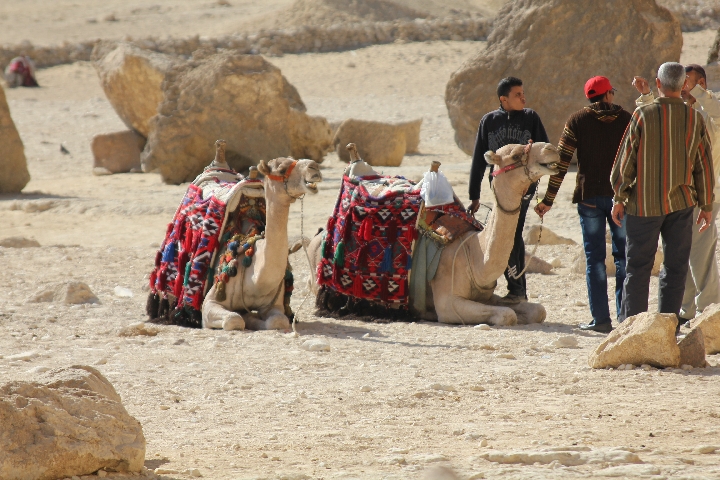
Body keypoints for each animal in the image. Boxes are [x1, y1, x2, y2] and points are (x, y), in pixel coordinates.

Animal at [201, 158, 322, 330]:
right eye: (281, 169)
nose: (314, 167)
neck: (257, 279)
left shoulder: (273, 305)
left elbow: (277, 320)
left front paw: (253, 319)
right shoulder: (211, 300)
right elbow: (234, 319)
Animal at [306, 141, 560, 324]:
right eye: (515, 155)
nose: (551, 149)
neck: (474, 255)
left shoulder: (486, 296)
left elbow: (538, 311)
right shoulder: (448, 303)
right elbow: (507, 315)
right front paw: (425, 312)